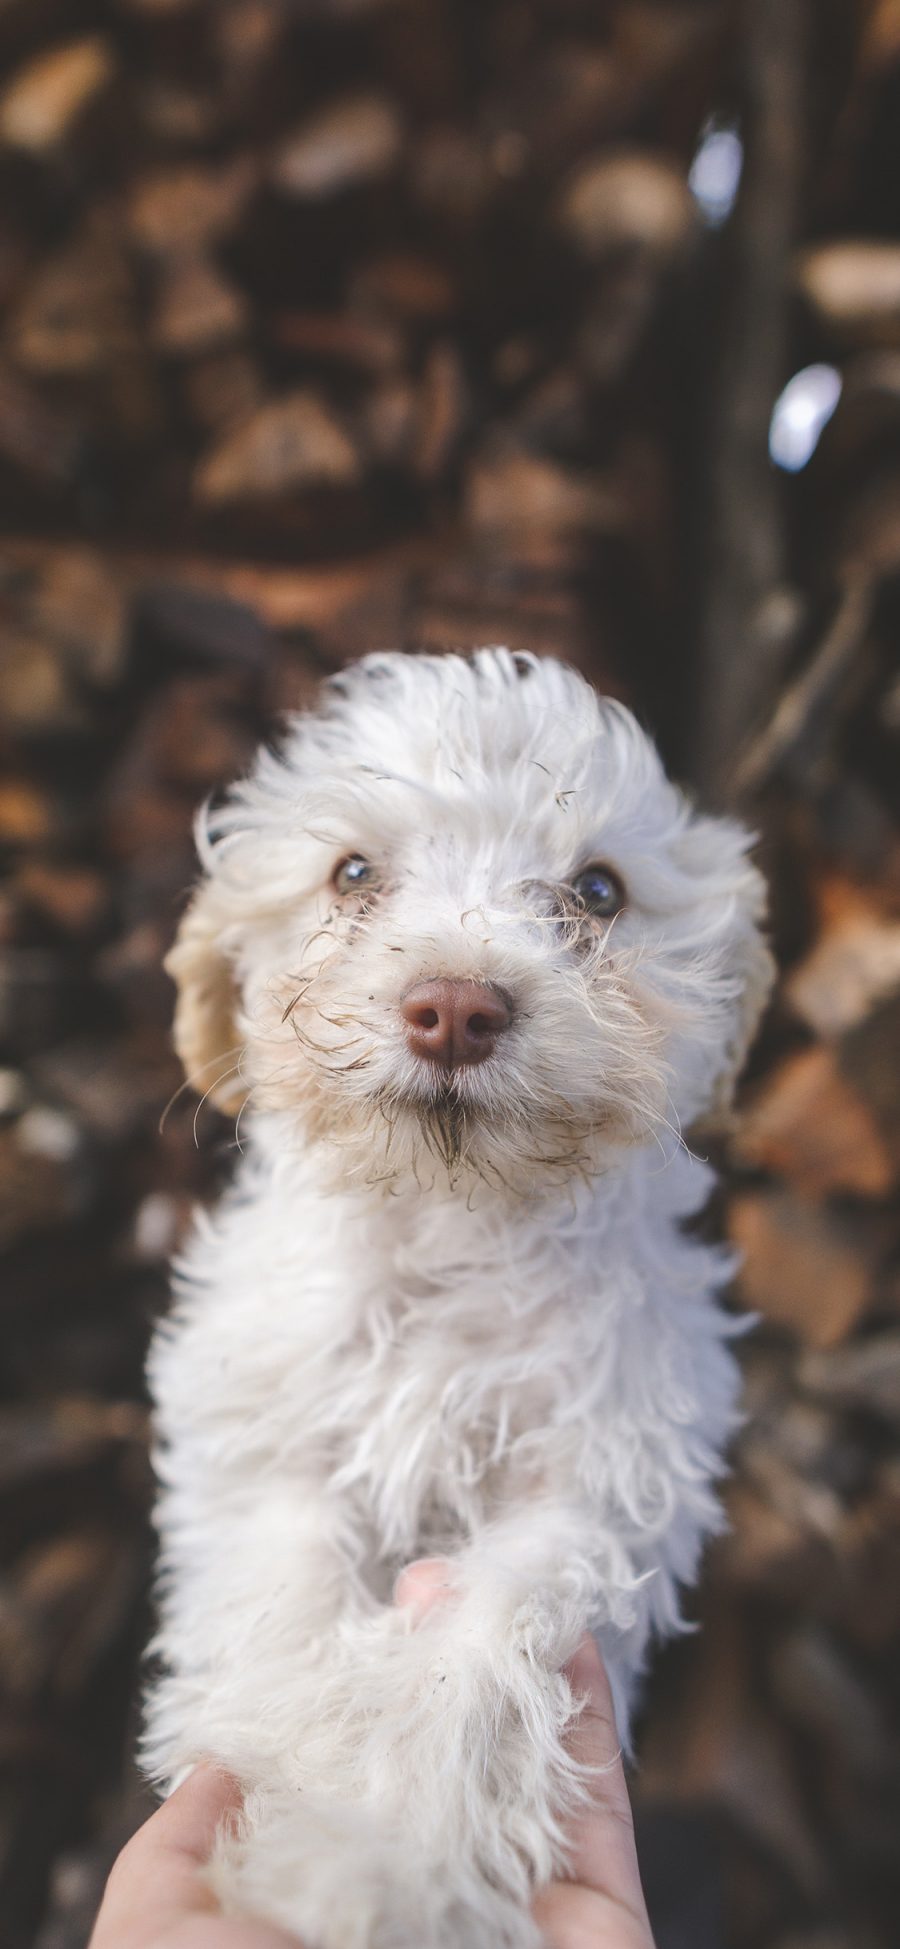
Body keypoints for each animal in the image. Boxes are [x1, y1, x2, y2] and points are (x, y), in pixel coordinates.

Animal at [142, 650, 775, 1949]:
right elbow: (283, 1611)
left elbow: (481, 1644)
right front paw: (286, 1789)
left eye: (598, 889)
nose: (456, 1006)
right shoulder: (265, 1445)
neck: (454, 1226)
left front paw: (375, 1866)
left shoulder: (597, 1487)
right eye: (351, 873)